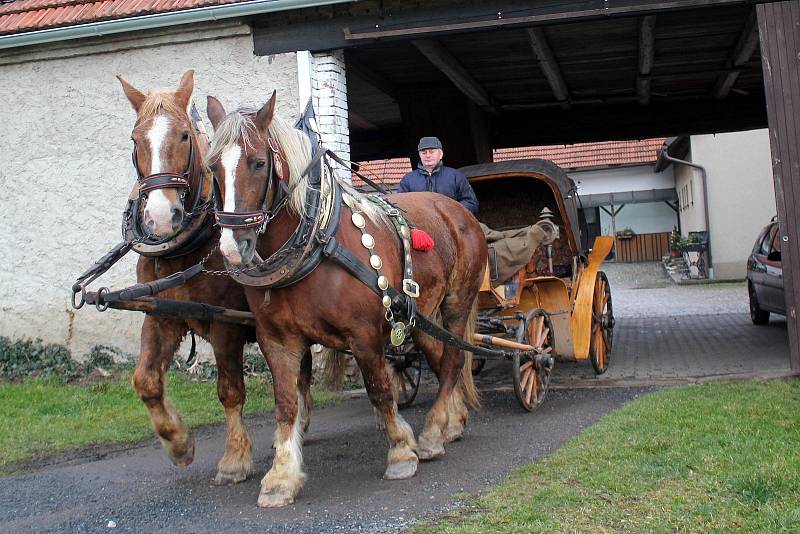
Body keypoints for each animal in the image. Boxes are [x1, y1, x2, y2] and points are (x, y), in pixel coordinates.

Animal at [115, 70, 316, 486]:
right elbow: (145, 381)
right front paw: (178, 443)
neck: (184, 250)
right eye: (135, 139)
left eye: (184, 135)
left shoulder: (226, 325)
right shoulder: (160, 315)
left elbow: (230, 390)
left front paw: (235, 458)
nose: (161, 217)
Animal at [205, 93, 488, 510]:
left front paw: (400, 451)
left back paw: (432, 431)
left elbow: (379, 389)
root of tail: (455, 210)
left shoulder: (364, 334)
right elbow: (287, 403)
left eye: (257, 162)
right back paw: (450, 423)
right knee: (440, 358)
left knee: (453, 360)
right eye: (212, 167)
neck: (317, 244)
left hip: (457, 302)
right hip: (420, 314)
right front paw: (282, 476)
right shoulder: (278, 340)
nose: (230, 248)